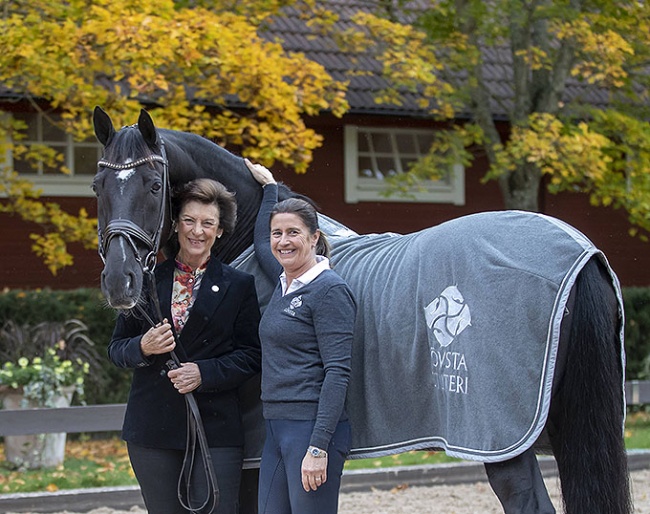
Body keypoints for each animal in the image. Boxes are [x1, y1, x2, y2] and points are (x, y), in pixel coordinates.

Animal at [93, 105, 632, 512]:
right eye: (99, 187)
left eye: (154, 186)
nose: (121, 281)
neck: (250, 239)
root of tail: (579, 251)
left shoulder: (249, 454)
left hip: (501, 439)